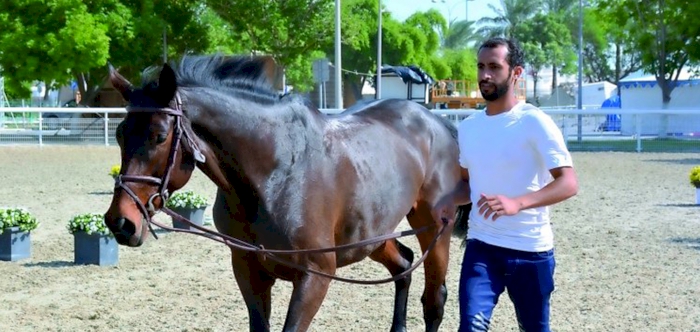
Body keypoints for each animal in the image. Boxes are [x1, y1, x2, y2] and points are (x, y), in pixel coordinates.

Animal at [102, 55, 470, 332]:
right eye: (120, 134)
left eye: (160, 135)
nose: (120, 222)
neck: (275, 173)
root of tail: (436, 122)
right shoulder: (248, 270)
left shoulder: (313, 277)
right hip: (372, 236)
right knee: (403, 265)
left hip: (433, 229)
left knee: (434, 300)